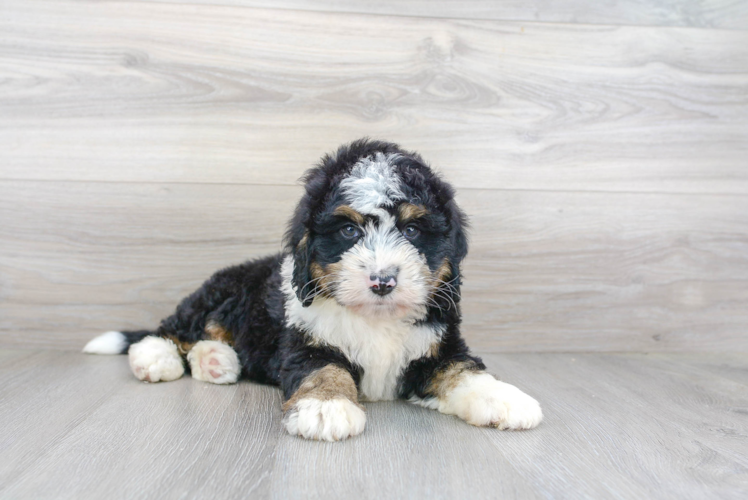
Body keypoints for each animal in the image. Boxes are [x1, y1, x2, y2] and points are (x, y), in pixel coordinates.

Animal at [84, 139, 544, 440]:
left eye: (413, 230)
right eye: (348, 231)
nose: (382, 281)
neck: (375, 319)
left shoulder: (437, 345)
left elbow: (462, 369)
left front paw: (505, 398)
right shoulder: (305, 342)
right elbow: (324, 368)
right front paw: (326, 407)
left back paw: (216, 362)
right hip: (219, 291)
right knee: (177, 327)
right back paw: (156, 357)